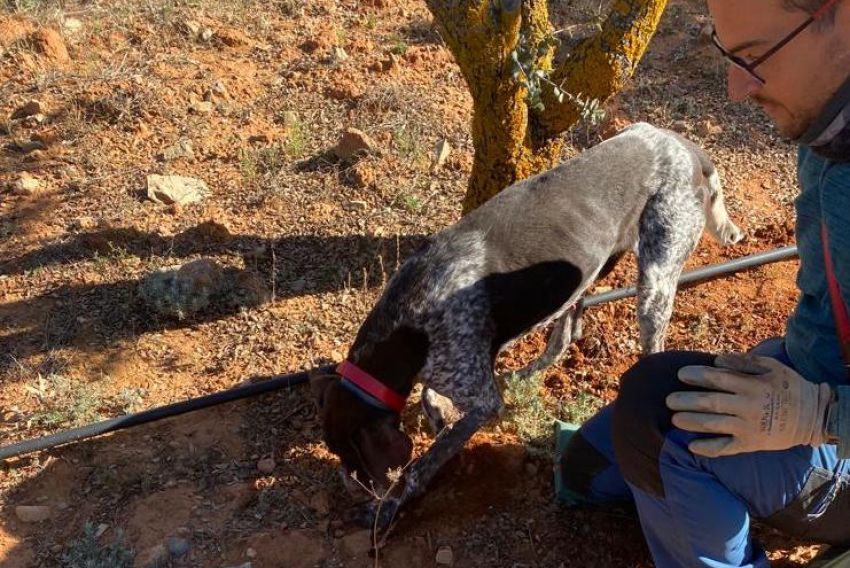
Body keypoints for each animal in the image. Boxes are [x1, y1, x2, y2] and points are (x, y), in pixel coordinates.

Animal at [310, 123, 744, 528]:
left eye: (354, 457)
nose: (352, 487)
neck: (409, 323)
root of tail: (687, 147)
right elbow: (433, 398)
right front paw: (439, 417)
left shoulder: (480, 395)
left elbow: (422, 464)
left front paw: (390, 504)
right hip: (593, 268)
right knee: (566, 335)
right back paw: (523, 373)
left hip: (655, 278)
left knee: (645, 346)